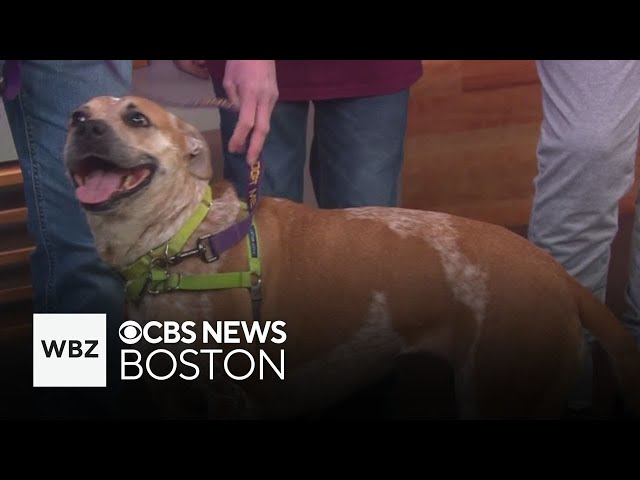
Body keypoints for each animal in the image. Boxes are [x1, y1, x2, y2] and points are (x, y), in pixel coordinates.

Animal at [61, 95, 640, 418]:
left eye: (137, 117)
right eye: (76, 115)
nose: (83, 126)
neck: (180, 240)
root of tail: (557, 274)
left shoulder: (228, 397)